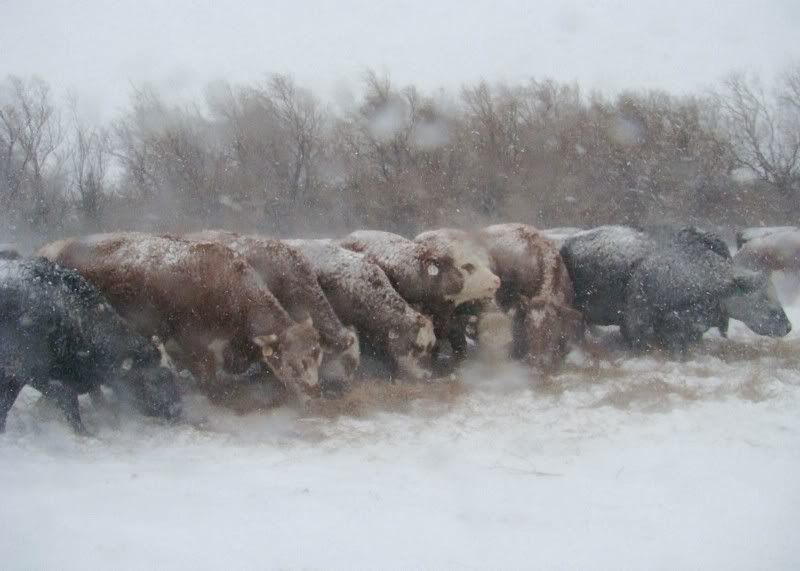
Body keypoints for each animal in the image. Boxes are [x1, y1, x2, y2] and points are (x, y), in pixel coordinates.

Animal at [39, 233, 323, 402]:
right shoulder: (194, 342)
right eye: (292, 364)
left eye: (317, 354)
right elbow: (208, 378)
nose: (313, 392)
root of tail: (64, 248)